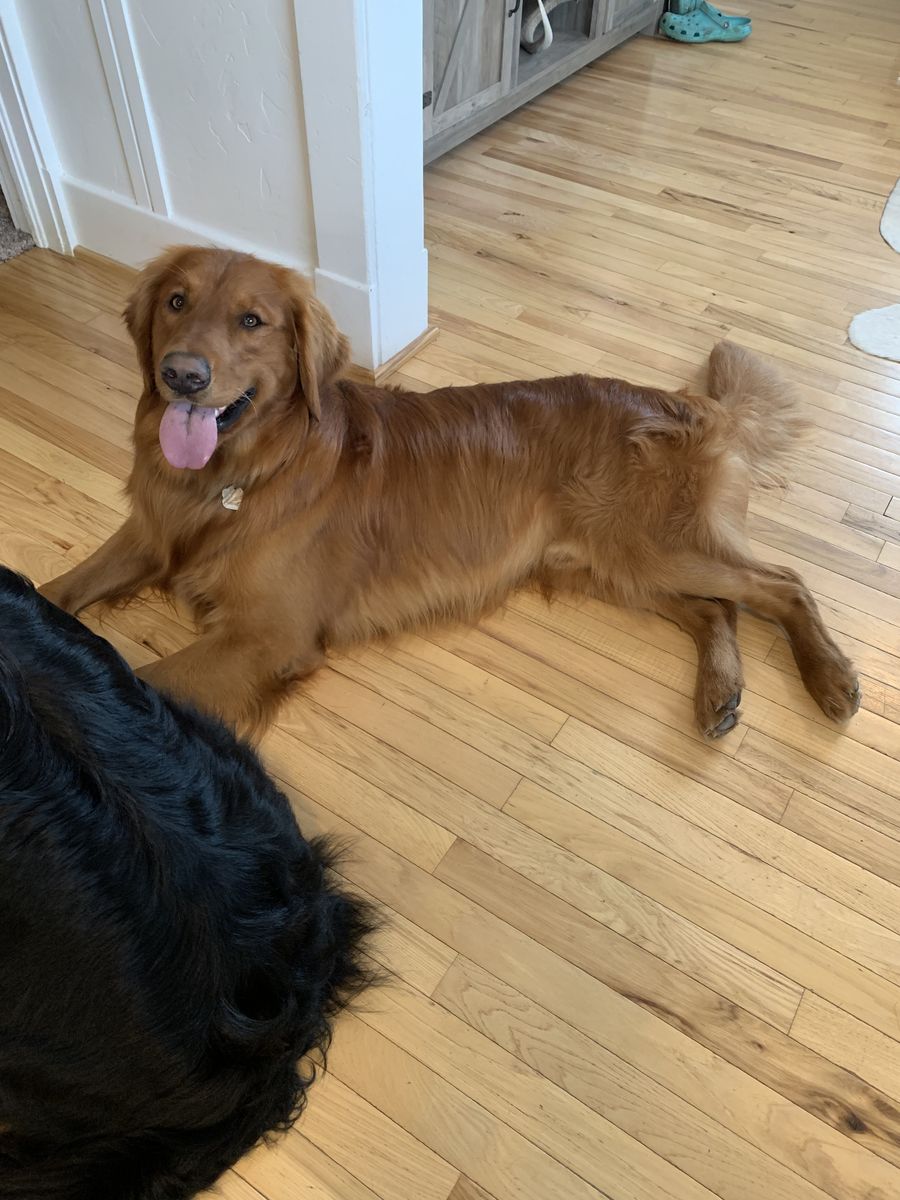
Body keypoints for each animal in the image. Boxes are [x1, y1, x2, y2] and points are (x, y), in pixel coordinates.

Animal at [42, 246, 860, 739]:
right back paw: (720, 691)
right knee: (717, 607)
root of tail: (692, 402)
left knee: (781, 582)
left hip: (647, 545)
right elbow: (56, 589)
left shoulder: (266, 636)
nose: (181, 375)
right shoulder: (149, 534)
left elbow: (140, 679)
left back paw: (830, 678)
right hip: (606, 562)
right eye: (176, 302)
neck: (238, 476)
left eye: (252, 320)